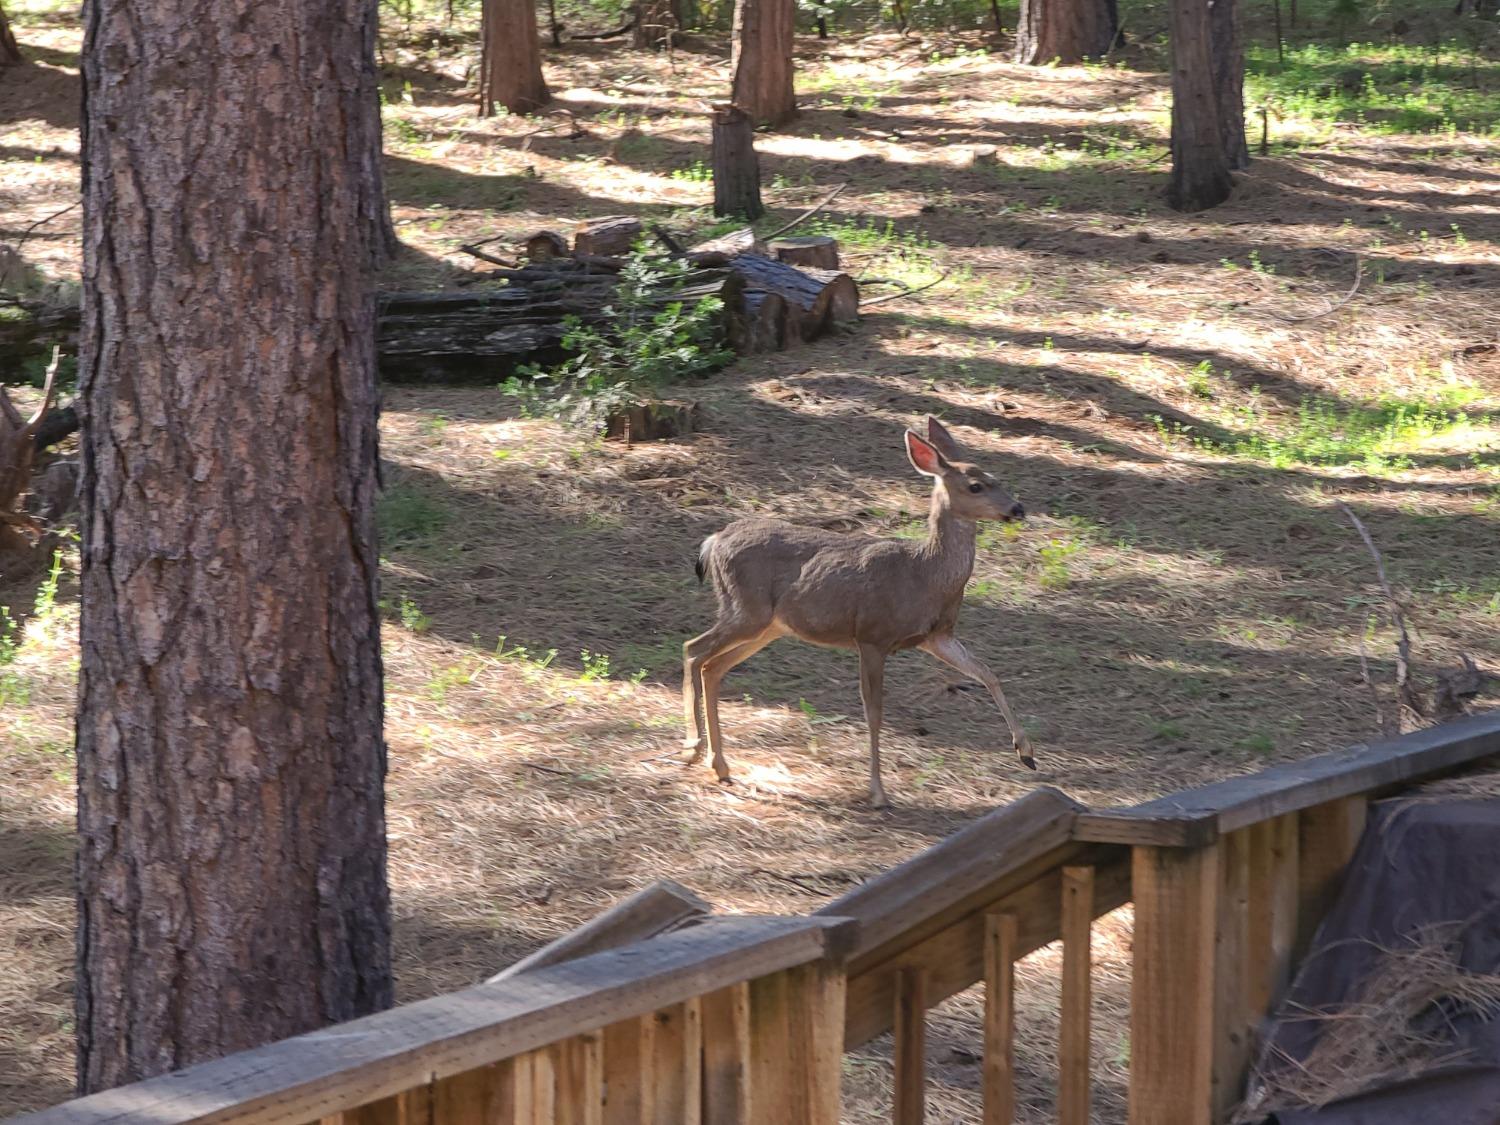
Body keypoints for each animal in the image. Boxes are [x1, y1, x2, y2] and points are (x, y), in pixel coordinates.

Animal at [687, 420, 1038, 804]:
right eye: (975, 485)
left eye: (995, 477)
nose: (1018, 508)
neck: (925, 573)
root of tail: (714, 541)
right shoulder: (872, 635)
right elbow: (874, 713)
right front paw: (878, 792)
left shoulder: (936, 635)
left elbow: (987, 673)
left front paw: (1026, 752)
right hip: (746, 609)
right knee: (694, 651)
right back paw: (695, 747)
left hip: (768, 626)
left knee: (713, 665)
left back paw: (718, 763)